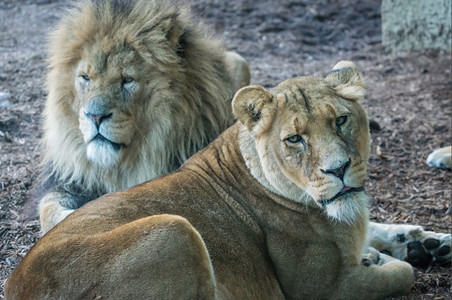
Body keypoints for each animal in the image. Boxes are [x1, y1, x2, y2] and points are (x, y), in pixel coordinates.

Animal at [6, 61, 448, 300]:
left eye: (340, 120)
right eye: (295, 139)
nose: (338, 170)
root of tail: (15, 285)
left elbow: (380, 230)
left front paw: (425, 242)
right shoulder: (323, 289)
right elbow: (401, 274)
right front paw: (383, 257)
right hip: (174, 230)